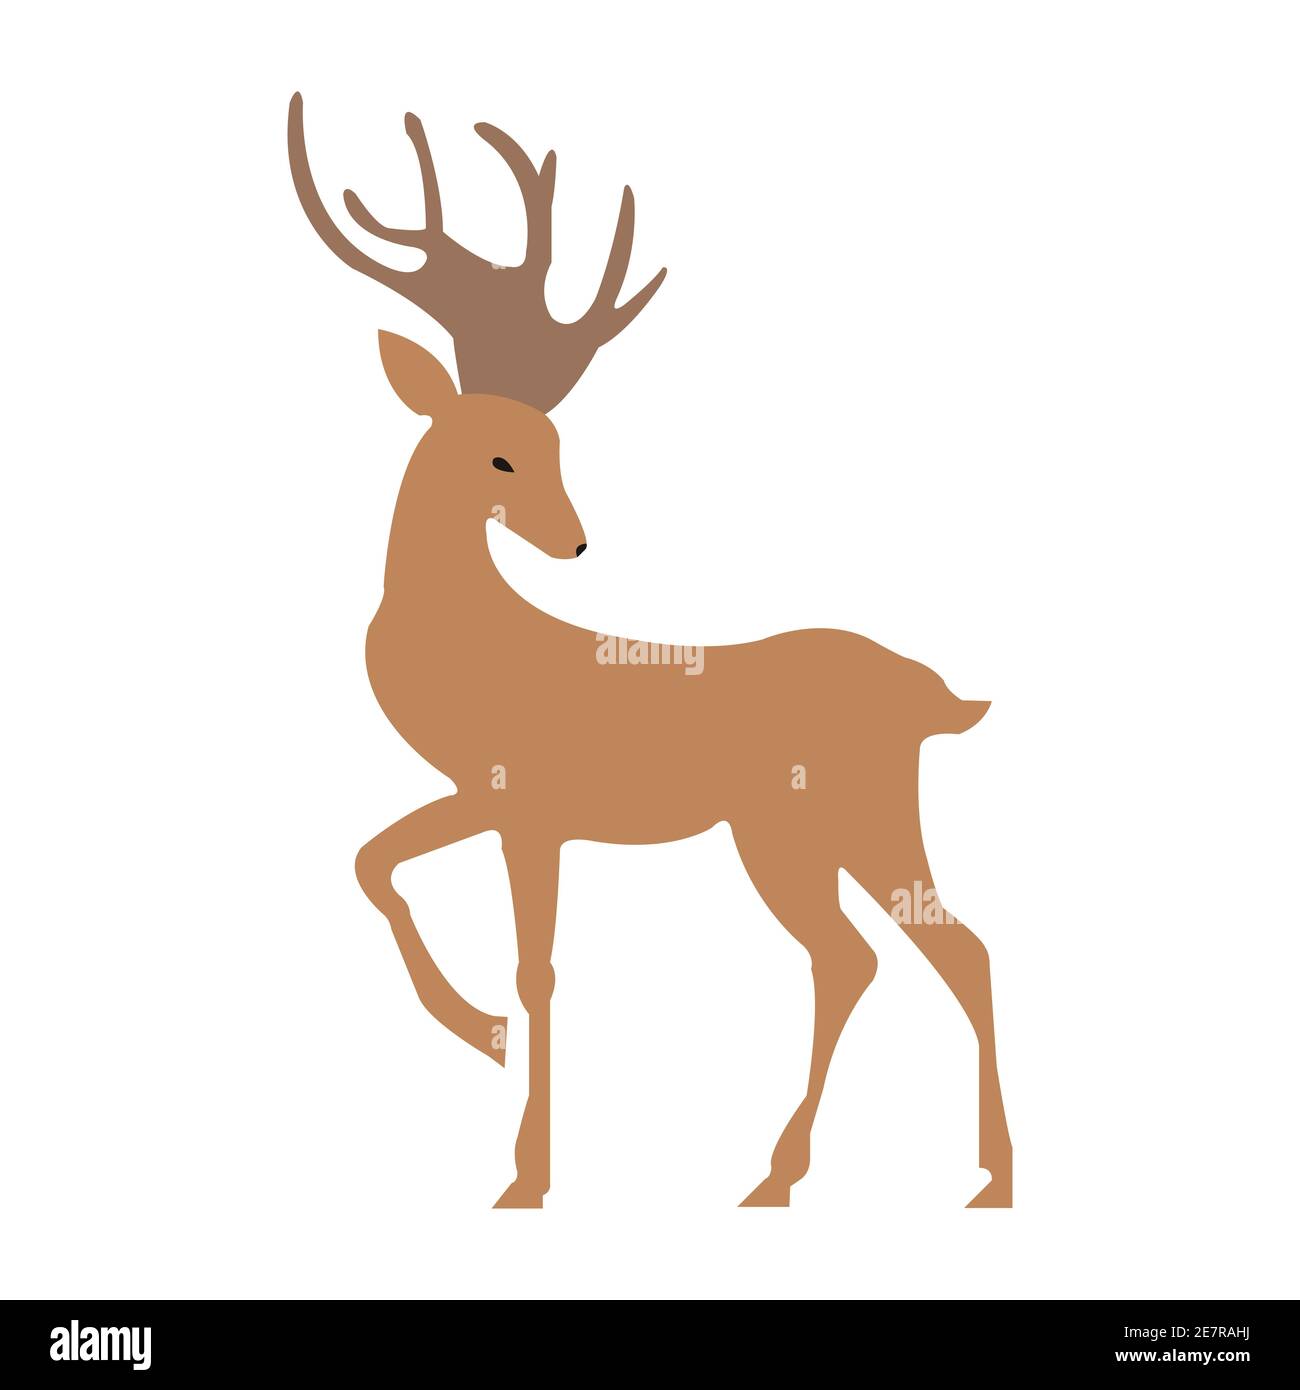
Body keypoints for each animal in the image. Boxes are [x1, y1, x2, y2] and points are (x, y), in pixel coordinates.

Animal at [287, 93, 1013, 1209]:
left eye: (554, 446)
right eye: (502, 455)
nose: (577, 543)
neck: (467, 637)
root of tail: (935, 699)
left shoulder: (528, 806)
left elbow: (532, 967)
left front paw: (523, 1167)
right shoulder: (487, 795)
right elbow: (374, 860)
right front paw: (485, 1046)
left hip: (836, 819)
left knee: (921, 948)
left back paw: (961, 1177)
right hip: (808, 831)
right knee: (890, 952)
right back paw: (804, 1176)